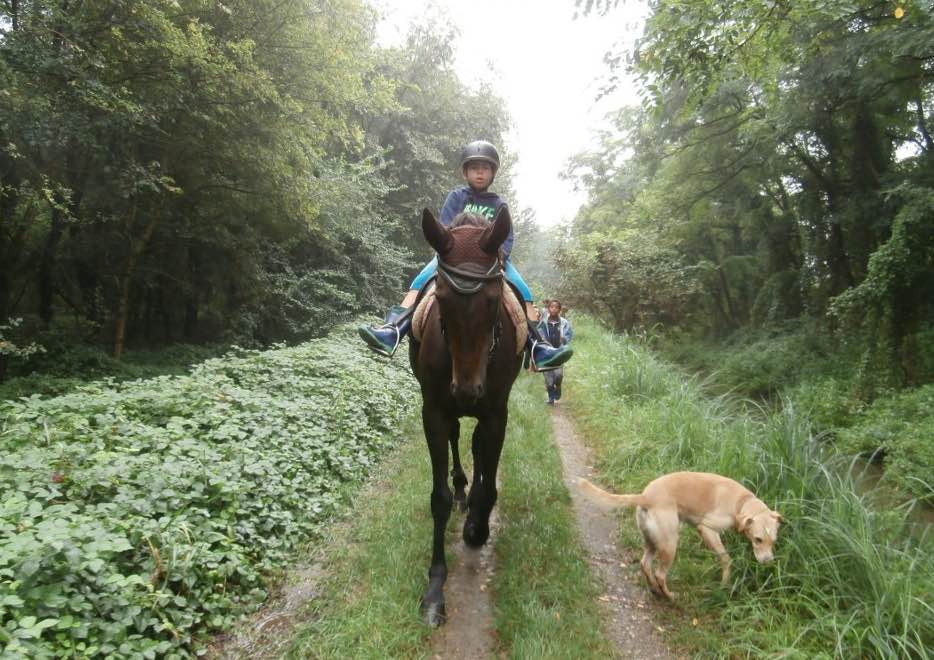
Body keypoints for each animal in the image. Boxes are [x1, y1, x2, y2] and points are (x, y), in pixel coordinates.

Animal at [412, 205, 524, 624]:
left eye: (493, 299)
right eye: (441, 298)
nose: (467, 390)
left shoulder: (496, 414)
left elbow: (490, 486)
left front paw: (477, 528)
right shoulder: (433, 411)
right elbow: (439, 498)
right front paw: (434, 589)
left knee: (475, 444)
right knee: (458, 437)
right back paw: (463, 489)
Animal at [580, 472, 788, 600]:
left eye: (773, 542)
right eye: (758, 539)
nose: (768, 562)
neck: (740, 501)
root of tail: (645, 496)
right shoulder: (707, 529)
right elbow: (726, 559)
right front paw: (725, 582)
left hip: (653, 542)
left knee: (645, 565)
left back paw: (654, 589)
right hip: (670, 545)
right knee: (660, 574)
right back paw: (670, 596)